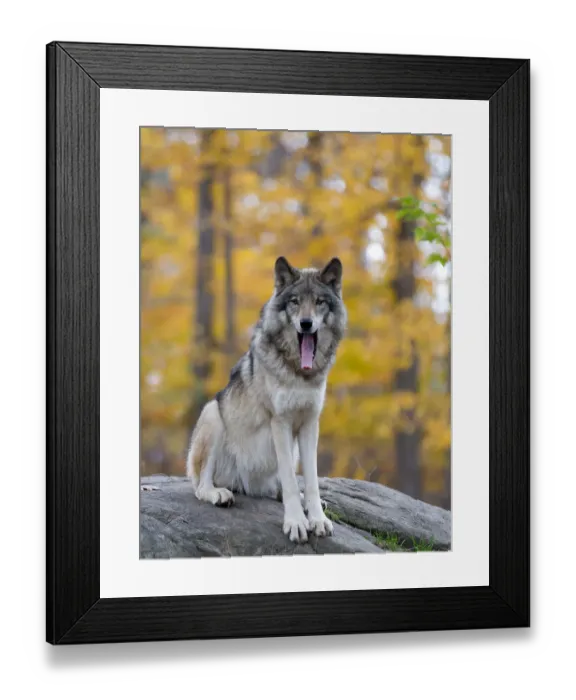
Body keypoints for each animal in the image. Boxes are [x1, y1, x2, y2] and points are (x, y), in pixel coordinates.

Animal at [185, 256, 347, 543]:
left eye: (319, 301)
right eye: (294, 301)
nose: (306, 323)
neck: (299, 373)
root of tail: (247, 485)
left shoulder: (309, 423)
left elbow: (311, 481)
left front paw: (317, 519)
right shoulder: (279, 422)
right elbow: (292, 481)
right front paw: (296, 523)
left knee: (279, 488)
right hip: (213, 414)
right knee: (201, 486)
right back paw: (219, 494)